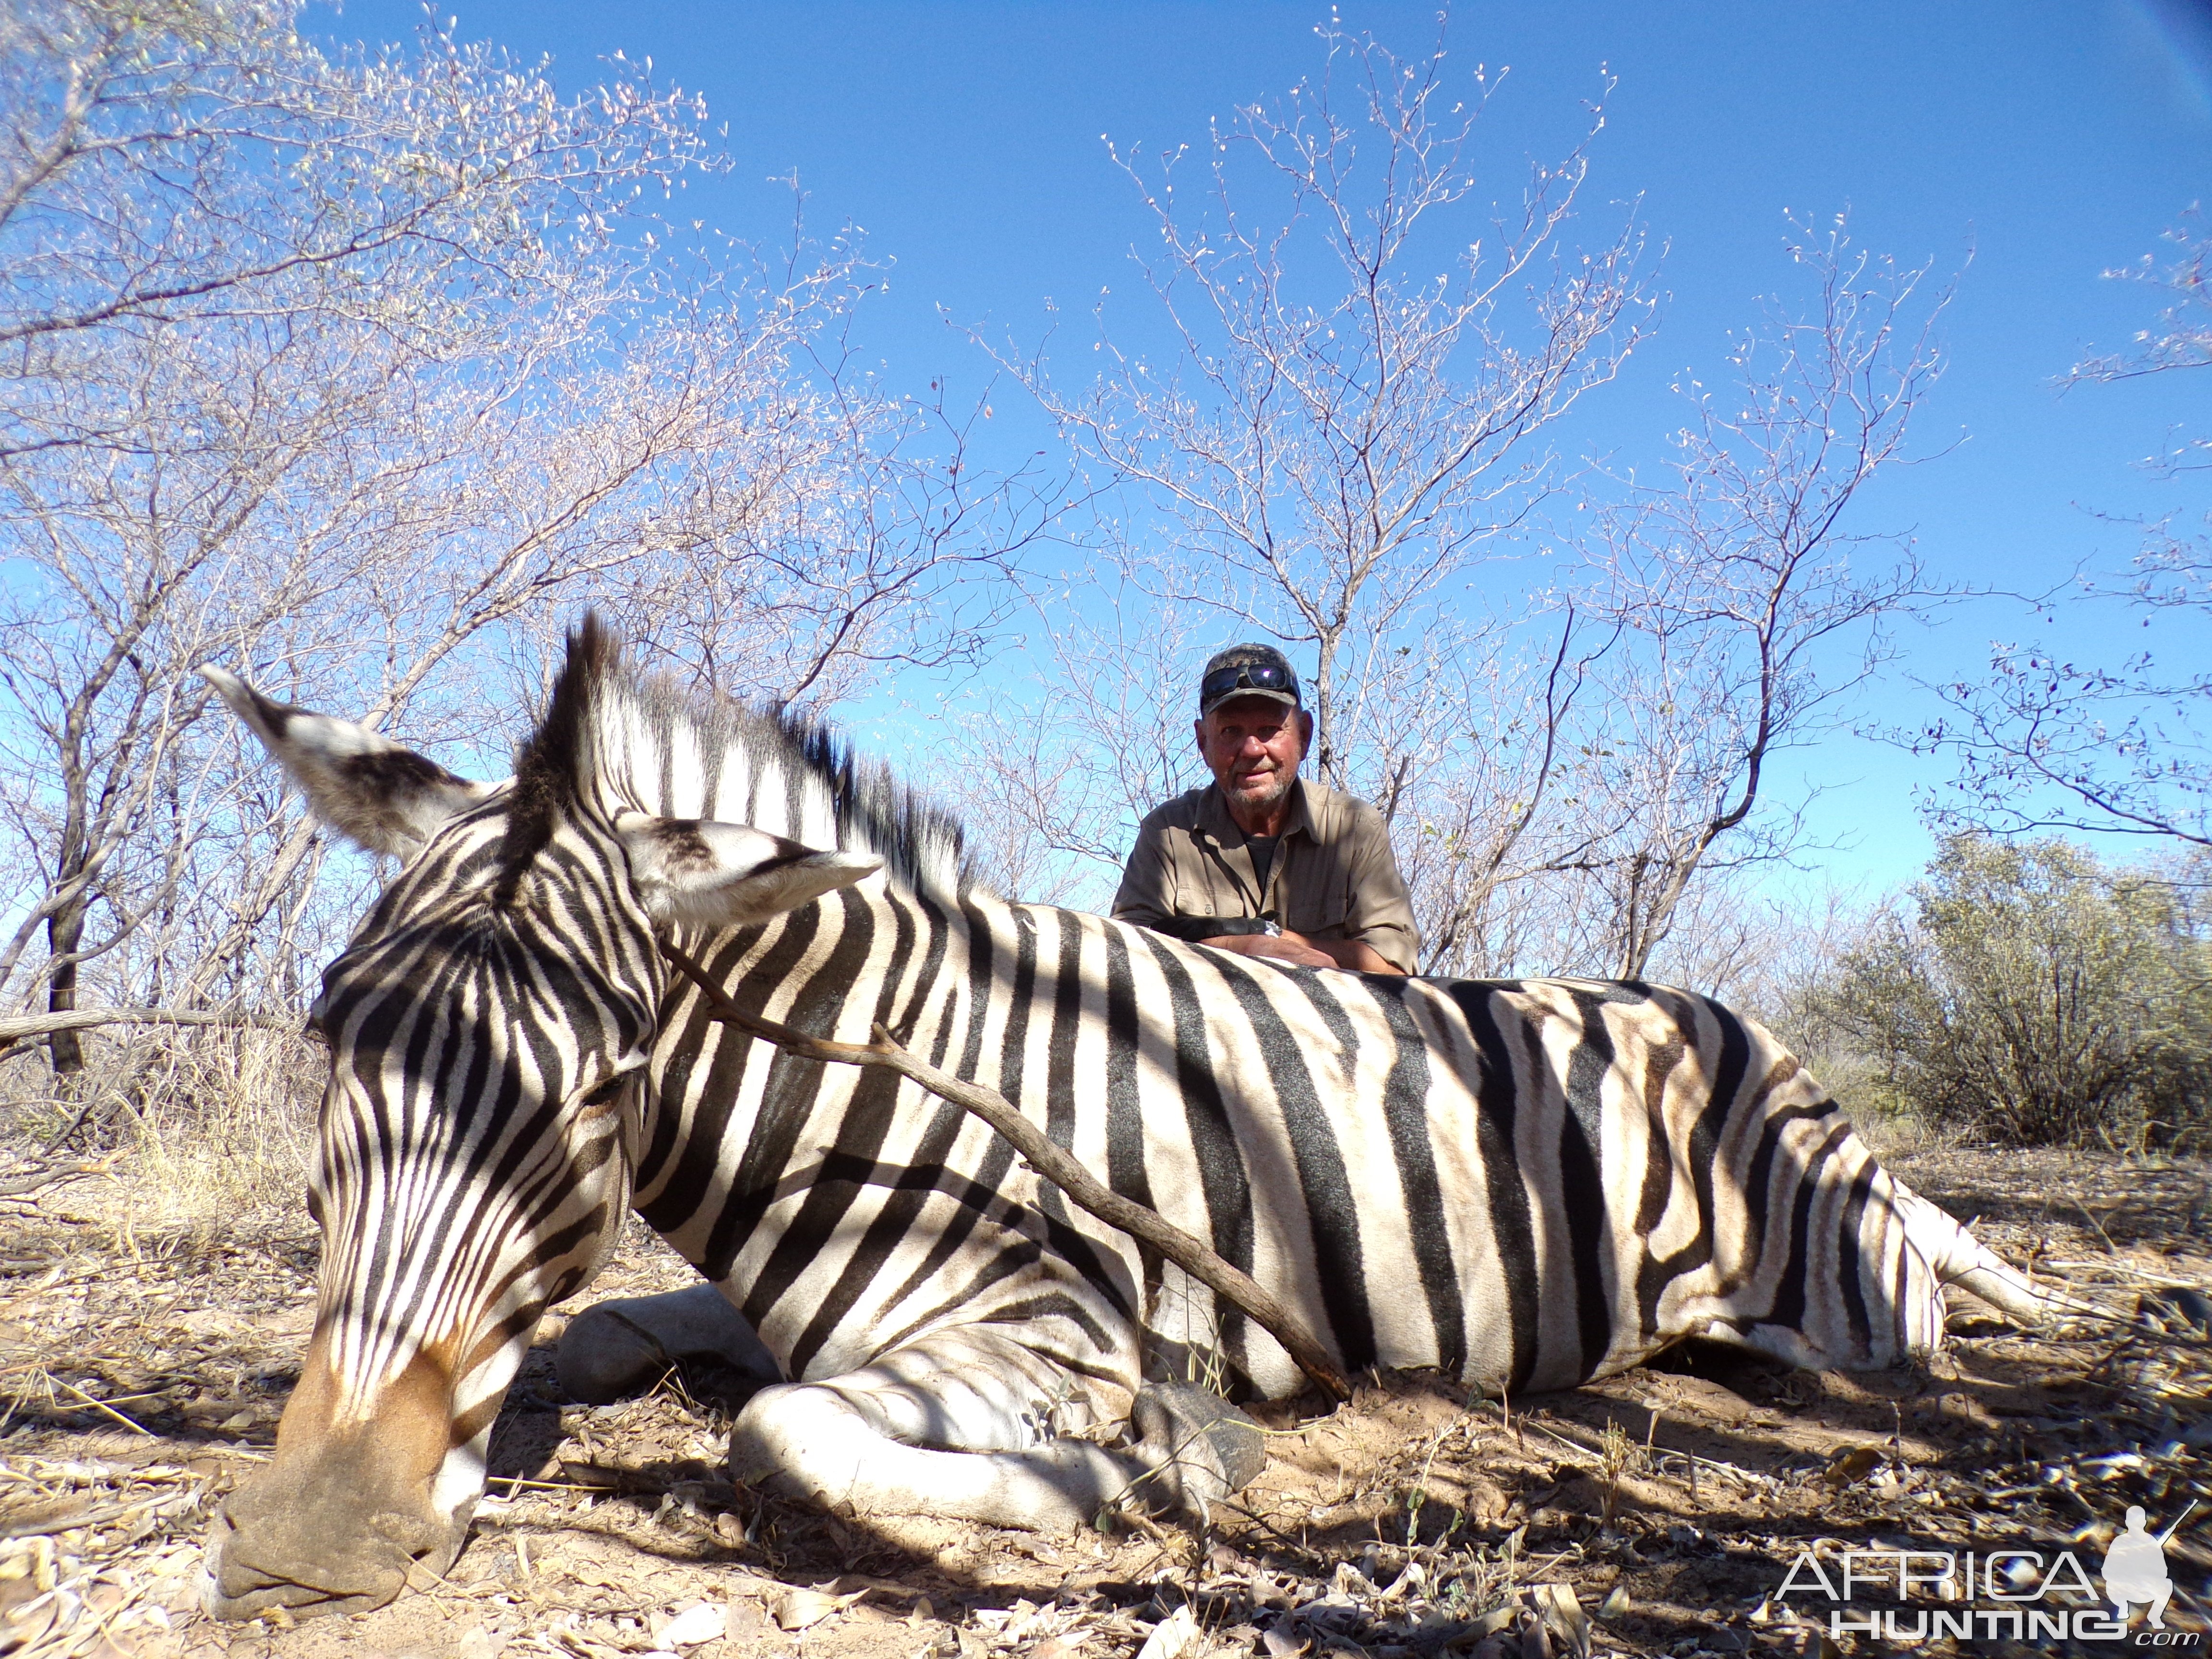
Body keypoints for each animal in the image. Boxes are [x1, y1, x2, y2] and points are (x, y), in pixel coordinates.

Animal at [199, 619, 2044, 1619]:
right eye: (328, 1033)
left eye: (596, 1083)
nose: (305, 1542)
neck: (869, 1076)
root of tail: (1745, 1030)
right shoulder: (762, 1298)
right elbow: (608, 1336)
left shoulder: (1052, 1335)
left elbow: (779, 1430)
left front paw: (1157, 1460)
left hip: (1854, 1297)